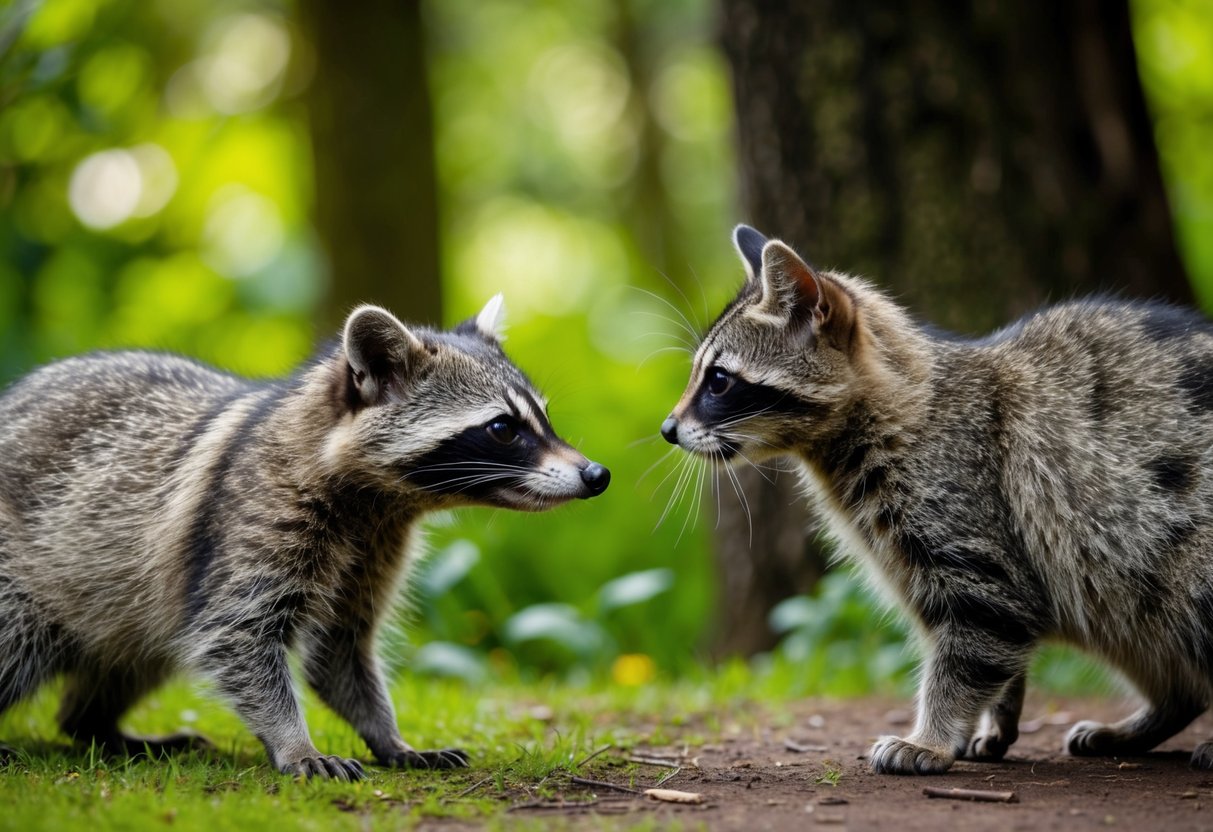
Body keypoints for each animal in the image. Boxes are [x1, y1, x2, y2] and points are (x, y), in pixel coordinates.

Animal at [0, 297, 610, 779]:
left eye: (545, 419)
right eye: (503, 428)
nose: (597, 474)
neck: (380, 501)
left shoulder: (374, 549)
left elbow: (341, 651)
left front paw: (388, 735)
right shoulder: (251, 523)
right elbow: (238, 637)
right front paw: (294, 743)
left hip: (130, 603)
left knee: (132, 657)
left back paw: (96, 726)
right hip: (29, 578)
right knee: (15, 643)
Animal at [662, 224, 1213, 775]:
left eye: (718, 381)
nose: (667, 429)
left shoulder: (970, 519)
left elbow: (975, 644)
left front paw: (934, 734)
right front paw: (998, 714)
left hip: (1161, 558)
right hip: (1118, 584)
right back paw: (1157, 714)